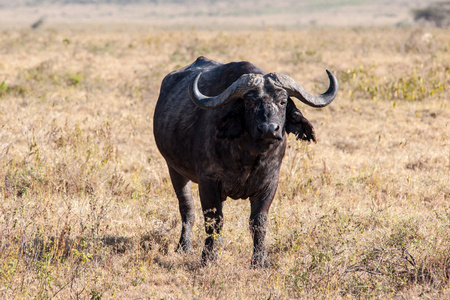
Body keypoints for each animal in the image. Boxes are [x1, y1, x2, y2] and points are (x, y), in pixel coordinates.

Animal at [153, 56, 336, 268]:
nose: (269, 129)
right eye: (249, 103)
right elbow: (214, 221)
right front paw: (208, 258)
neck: (249, 156)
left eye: (283, 101)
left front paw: (260, 260)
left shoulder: (269, 183)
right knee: (186, 209)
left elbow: (258, 222)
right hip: (175, 169)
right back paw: (184, 246)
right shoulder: (208, 182)